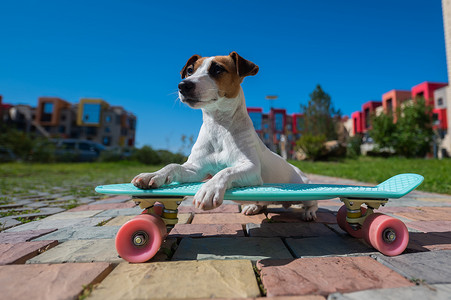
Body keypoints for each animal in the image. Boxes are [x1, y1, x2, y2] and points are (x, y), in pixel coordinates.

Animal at [132, 52, 318, 220]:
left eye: (217, 69)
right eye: (190, 70)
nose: (183, 85)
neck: (218, 126)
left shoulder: (251, 168)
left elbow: (225, 171)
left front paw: (209, 189)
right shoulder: (196, 169)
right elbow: (173, 166)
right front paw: (153, 175)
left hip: (306, 190)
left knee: (313, 203)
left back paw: (309, 212)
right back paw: (253, 206)